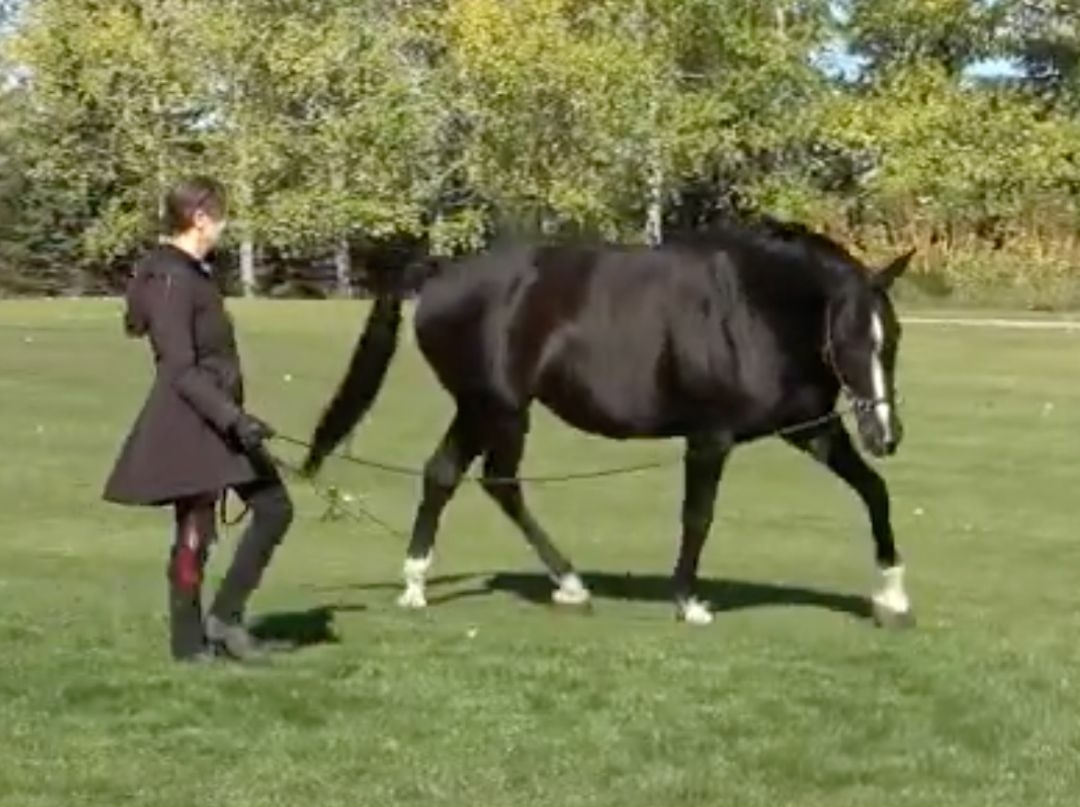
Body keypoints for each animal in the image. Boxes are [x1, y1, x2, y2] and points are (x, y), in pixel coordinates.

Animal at [300, 218, 915, 627]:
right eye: (852, 338)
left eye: (893, 338)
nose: (887, 436)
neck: (749, 308)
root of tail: (441, 274)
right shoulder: (709, 438)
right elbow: (698, 516)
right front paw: (689, 602)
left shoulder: (810, 430)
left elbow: (874, 491)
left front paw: (893, 597)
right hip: (494, 407)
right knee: (470, 477)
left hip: (488, 410)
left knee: (464, 477)